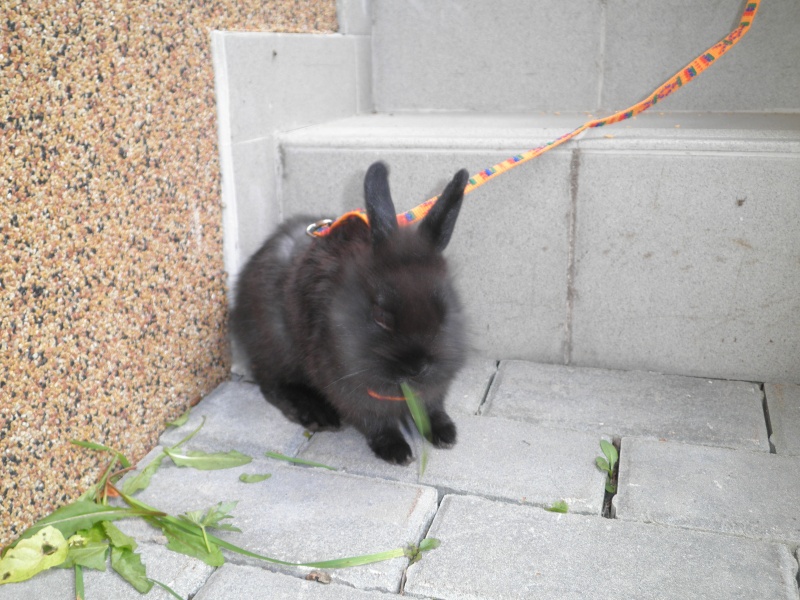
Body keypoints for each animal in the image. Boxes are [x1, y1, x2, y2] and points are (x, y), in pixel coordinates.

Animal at [231, 161, 469, 465]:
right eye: (380, 317)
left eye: (444, 311)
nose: (417, 367)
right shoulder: (346, 385)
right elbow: (375, 421)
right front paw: (396, 451)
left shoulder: (435, 387)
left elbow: (432, 407)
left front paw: (446, 433)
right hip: (275, 344)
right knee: (273, 383)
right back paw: (318, 415)